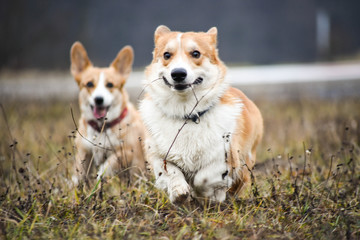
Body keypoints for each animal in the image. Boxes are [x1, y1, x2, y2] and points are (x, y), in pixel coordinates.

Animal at [70, 41, 145, 186]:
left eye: (110, 84)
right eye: (89, 84)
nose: (99, 99)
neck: (101, 128)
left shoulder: (125, 152)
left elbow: (105, 167)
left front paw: (98, 184)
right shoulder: (84, 151)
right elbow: (78, 173)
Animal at [139, 25, 262, 202]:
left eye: (196, 53)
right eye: (167, 55)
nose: (178, 73)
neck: (186, 113)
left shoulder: (226, 158)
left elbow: (202, 178)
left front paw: (206, 194)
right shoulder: (157, 156)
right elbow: (170, 171)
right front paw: (179, 192)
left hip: (246, 162)